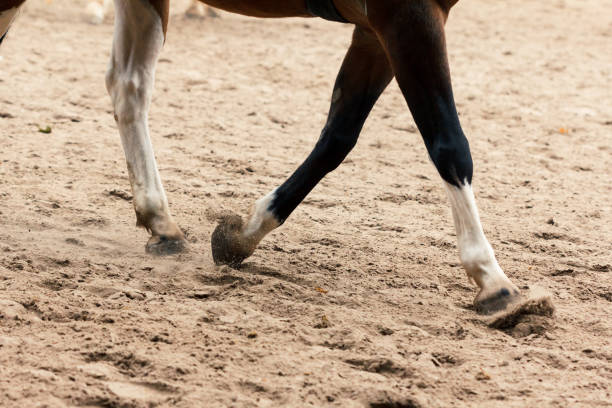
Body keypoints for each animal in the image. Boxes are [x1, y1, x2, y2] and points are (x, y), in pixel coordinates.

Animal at [0, 0, 520, 314]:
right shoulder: (408, 16)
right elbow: (448, 145)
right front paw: (490, 277)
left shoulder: (375, 30)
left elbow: (338, 136)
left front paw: (242, 235)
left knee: (128, 87)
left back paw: (161, 223)